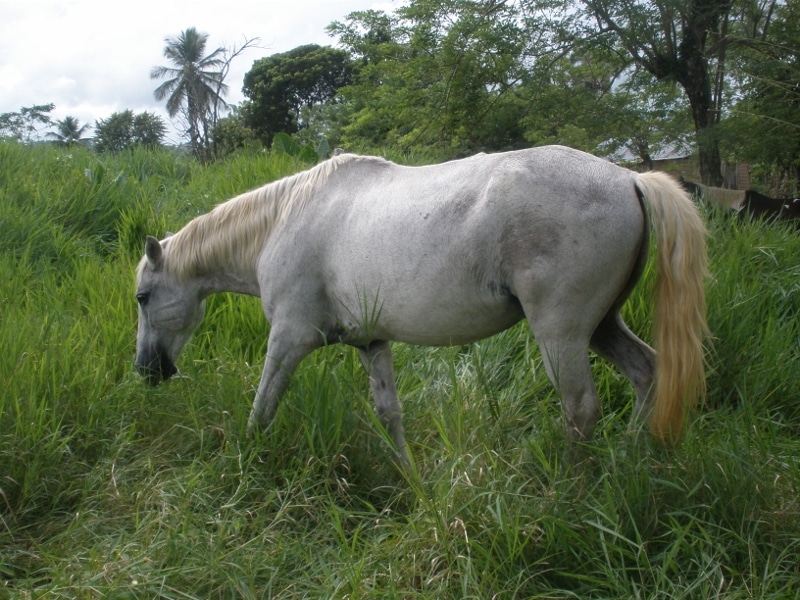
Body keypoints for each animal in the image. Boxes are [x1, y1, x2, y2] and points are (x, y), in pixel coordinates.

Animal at [135, 146, 709, 466]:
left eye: (142, 297)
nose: (146, 371)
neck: (285, 219)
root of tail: (629, 178)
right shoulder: (372, 342)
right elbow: (389, 413)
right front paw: (408, 476)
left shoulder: (289, 340)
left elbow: (263, 406)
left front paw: (245, 461)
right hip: (603, 327)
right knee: (647, 372)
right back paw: (631, 458)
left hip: (562, 336)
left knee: (581, 408)